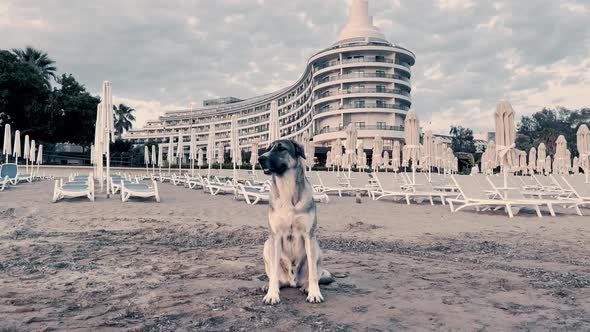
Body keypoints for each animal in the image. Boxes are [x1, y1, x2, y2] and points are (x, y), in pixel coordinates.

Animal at [260, 139, 338, 304]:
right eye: (268, 148)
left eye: (281, 148)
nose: (260, 159)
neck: (286, 188)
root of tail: (293, 281)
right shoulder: (275, 237)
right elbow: (274, 274)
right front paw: (272, 294)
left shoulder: (309, 235)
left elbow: (313, 274)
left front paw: (314, 293)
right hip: (267, 245)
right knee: (277, 277)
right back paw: (271, 286)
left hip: (317, 248)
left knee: (312, 275)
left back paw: (307, 287)